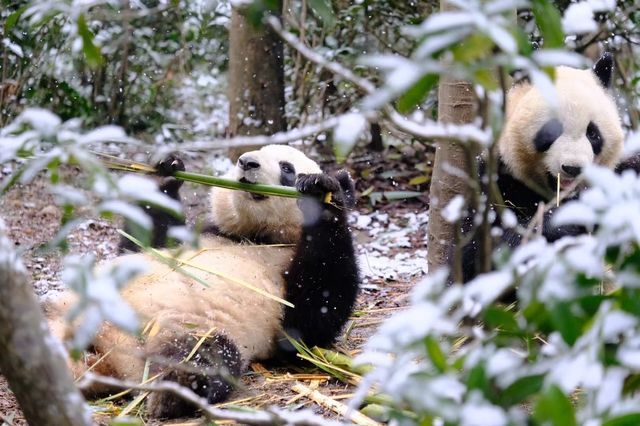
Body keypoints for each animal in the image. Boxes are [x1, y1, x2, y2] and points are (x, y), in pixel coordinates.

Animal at [46, 145, 360, 418]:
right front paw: (166, 172)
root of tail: (105, 356)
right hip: (64, 305)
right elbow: (142, 243)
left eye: (287, 168)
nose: (247, 162)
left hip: (180, 326)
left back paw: (173, 390)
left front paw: (321, 194)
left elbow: (311, 320)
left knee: (203, 352)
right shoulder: (209, 233)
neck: (258, 236)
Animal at [460, 53, 632, 282]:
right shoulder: (493, 181)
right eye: (552, 131)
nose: (573, 168)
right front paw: (566, 222)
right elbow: (476, 255)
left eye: (593, 133)